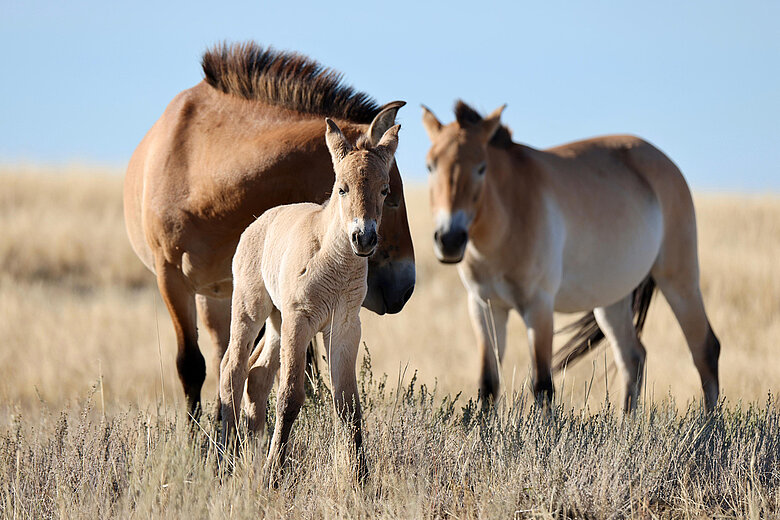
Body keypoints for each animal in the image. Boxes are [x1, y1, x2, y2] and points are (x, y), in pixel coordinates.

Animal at [123, 42, 415, 417]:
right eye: (392, 196)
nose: (405, 288)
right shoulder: (170, 278)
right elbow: (190, 365)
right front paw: (194, 434)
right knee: (227, 360)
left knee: (235, 359)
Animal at [219, 118, 400, 483]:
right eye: (342, 188)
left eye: (385, 190)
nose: (364, 238)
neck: (334, 264)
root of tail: (256, 223)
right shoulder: (300, 320)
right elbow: (290, 396)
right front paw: (273, 476)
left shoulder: (344, 327)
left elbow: (348, 404)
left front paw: (362, 479)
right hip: (251, 309)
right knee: (232, 367)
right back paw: (228, 459)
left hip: (277, 322)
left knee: (257, 374)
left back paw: (251, 456)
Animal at [421, 101, 720, 411]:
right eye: (430, 166)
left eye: (481, 168)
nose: (449, 240)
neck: (510, 219)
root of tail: (667, 163)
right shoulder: (485, 307)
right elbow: (488, 386)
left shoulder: (539, 307)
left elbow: (543, 386)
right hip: (611, 300)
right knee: (633, 358)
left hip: (679, 281)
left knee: (705, 350)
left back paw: (710, 424)